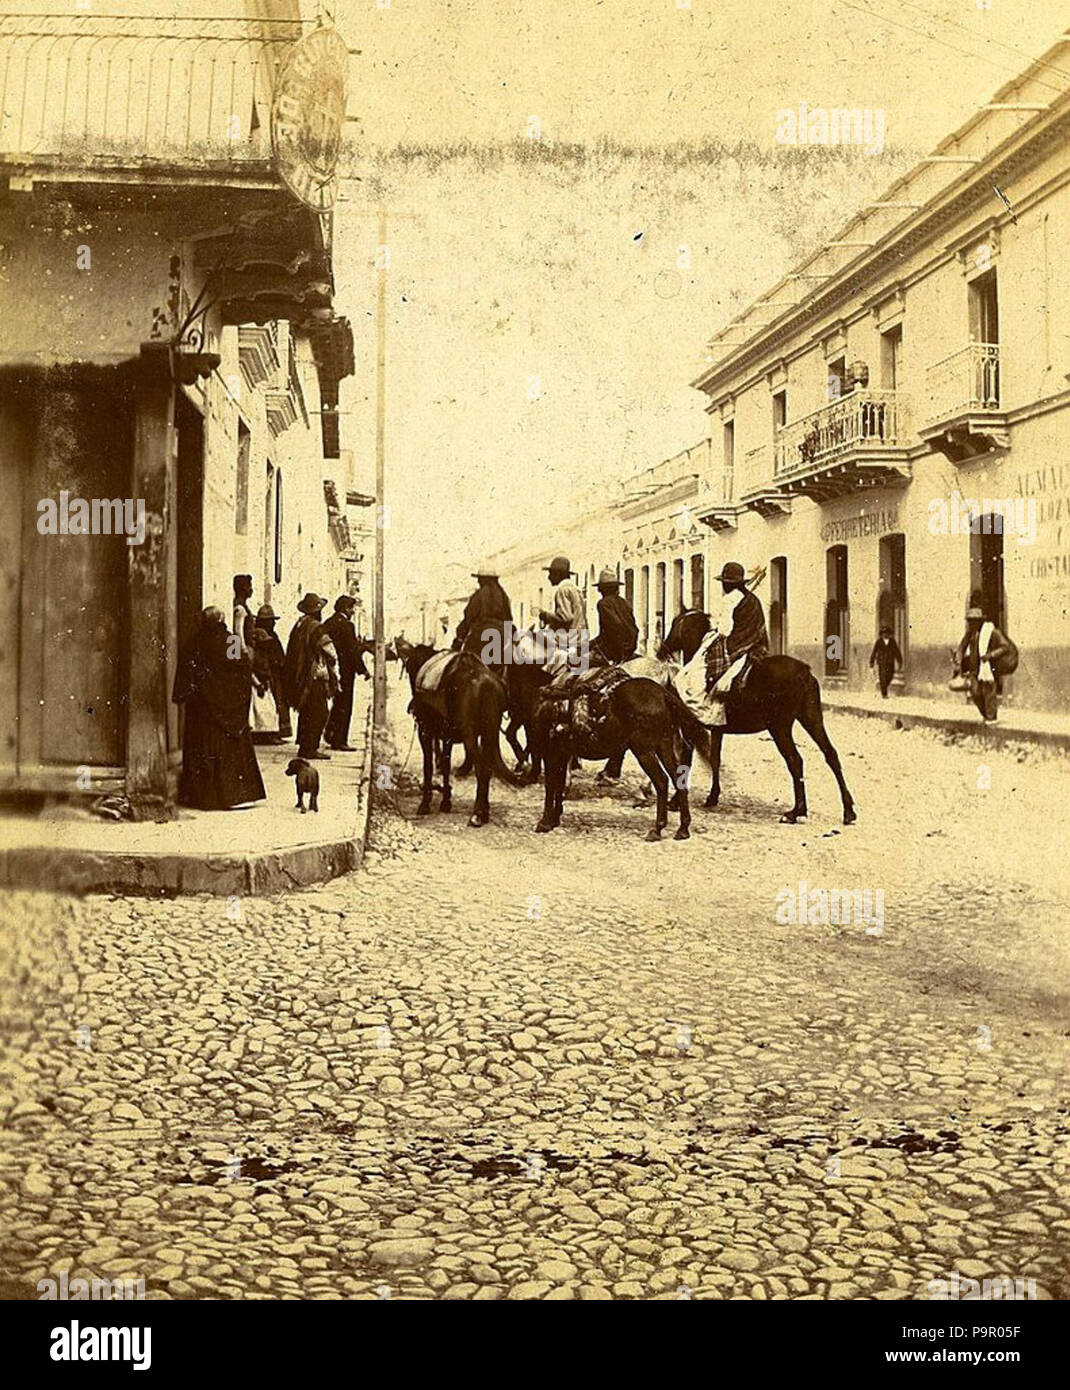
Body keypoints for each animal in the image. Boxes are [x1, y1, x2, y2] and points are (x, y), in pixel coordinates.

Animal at [391, 636, 528, 822]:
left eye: (410, 666)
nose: (414, 706)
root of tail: (487, 685)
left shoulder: (425, 731)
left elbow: (428, 765)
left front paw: (425, 803)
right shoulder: (447, 735)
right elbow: (445, 764)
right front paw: (445, 801)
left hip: (470, 735)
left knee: (482, 768)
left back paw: (478, 813)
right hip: (489, 732)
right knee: (488, 766)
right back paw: (484, 808)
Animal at [525, 669, 708, 839]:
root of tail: (662, 693)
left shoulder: (550, 752)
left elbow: (551, 786)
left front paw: (544, 822)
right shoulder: (562, 753)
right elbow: (559, 785)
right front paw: (554, 818)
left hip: (644, 751)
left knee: (661, 782)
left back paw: (657, 829)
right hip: (664, 748)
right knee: (678, 780)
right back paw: (683, 829)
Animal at [655, 611, 856, 822]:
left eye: (675, 623)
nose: (662, 648)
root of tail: (803, 671)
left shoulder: (691, 729)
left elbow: (686, 762)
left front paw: (676, 801)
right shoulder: (717, 730)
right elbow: (714, 759)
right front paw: (713, 796)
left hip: (780, 728)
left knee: (795, 760)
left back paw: (796, 811)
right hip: (811, 718)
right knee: (830, 754)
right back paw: (847, 810)